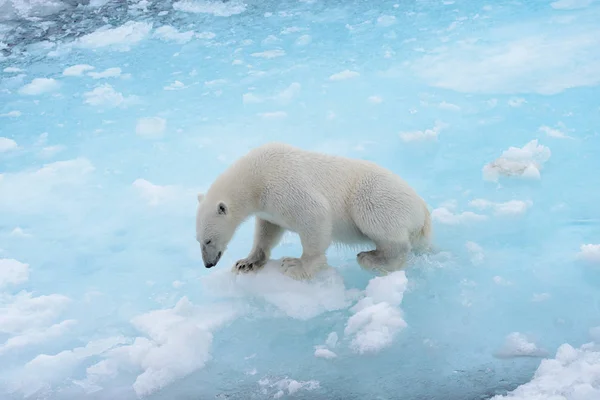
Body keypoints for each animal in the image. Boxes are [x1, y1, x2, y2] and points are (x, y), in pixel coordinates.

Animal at [197, 142, 432, 280]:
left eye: (208, 240)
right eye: (198, 240)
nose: (208, 264)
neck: (256, 176)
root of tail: (423, 210)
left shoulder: (283, 186)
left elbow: (315, 215)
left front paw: (295, 265)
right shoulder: (268, 207)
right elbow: (268, 230)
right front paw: (246, 263)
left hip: (378, 195)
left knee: (378, 222)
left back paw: (371, 258)